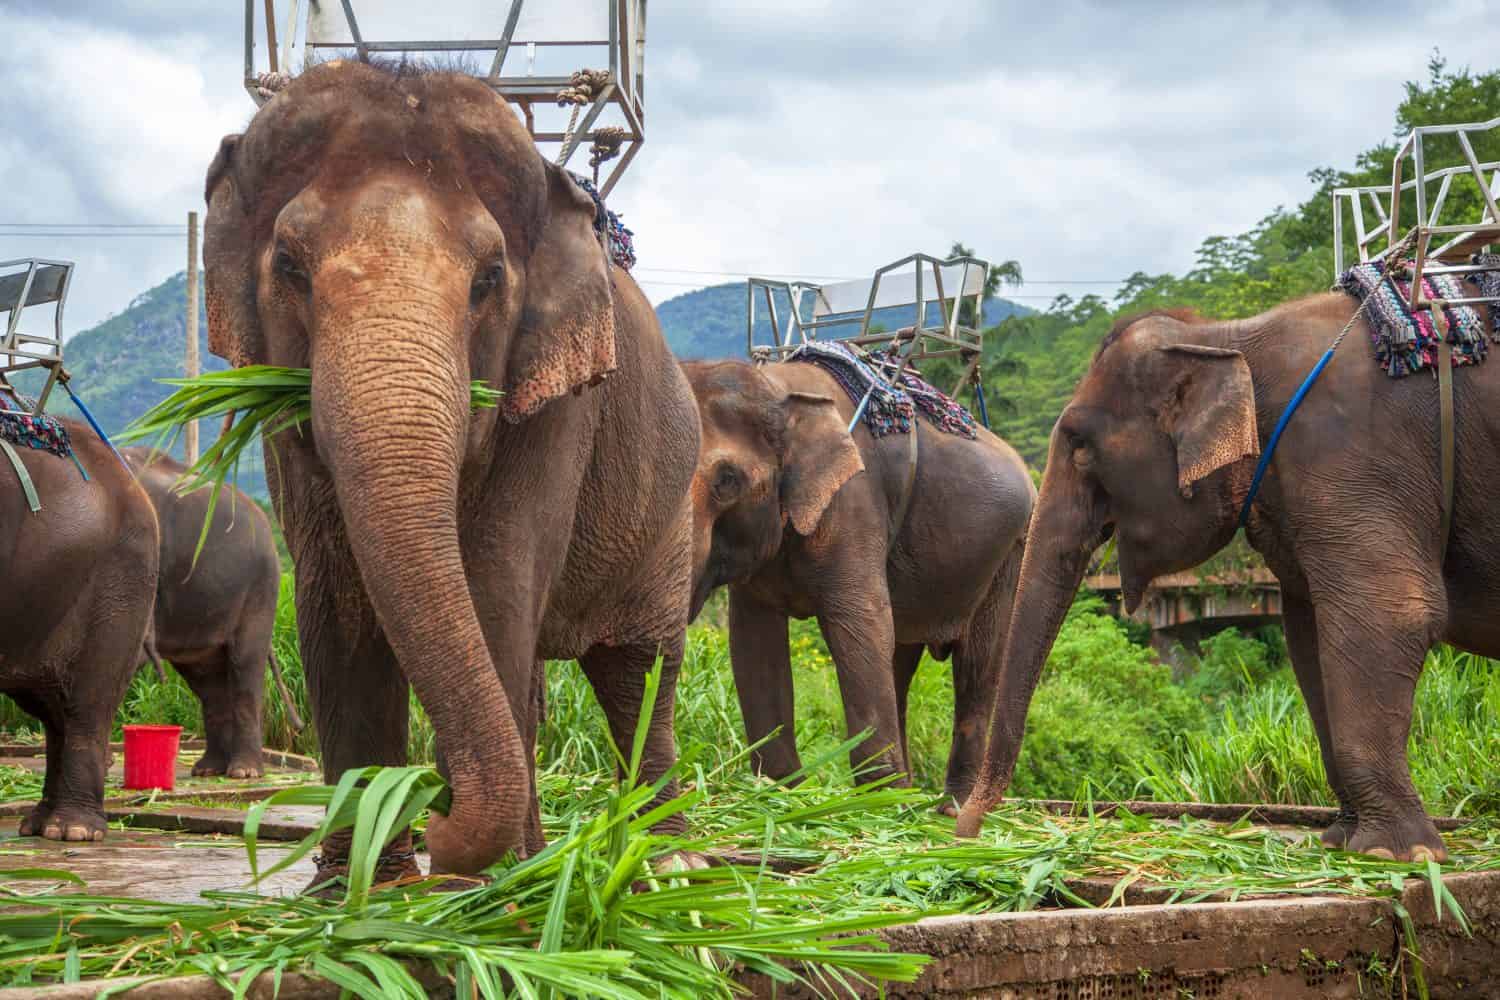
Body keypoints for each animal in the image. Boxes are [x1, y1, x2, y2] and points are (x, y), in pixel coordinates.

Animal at [202, 60, 699, 880]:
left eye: (489, 278)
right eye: (290, 266)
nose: (439, 807)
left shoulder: (557, 409)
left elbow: (496, 584)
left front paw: (479, 885)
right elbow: (336, 607)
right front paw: (357, 885)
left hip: (670, 518)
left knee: (641, 671)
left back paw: (665, 865)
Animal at [682, 359, 1034, 806]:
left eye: (727, 480)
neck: (777, 383)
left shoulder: (854, 503)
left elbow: (861, 627)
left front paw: (872, 801)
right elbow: (753, 643)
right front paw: (782, 793)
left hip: (1008, 555)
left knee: (978, 663)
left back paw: (948, 808)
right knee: (900, 660)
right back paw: (911, 795)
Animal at [957, 298, 1500, 862]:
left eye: (1080, 446)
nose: (967, 832)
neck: (1228, 337)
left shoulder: (1353, 452)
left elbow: (1389, 614)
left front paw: (1393, 855)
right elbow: (1308, 634)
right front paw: (1341, 840)